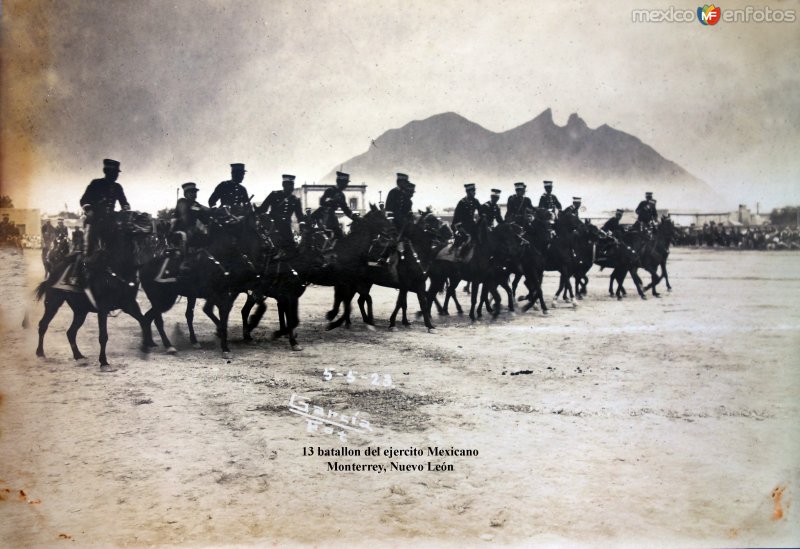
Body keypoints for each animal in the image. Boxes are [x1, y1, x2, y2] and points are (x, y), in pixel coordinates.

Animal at [34, 210, 156, 368]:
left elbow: (144, 321)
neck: (116, 267)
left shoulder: (129, 304)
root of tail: (54, 273)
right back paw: (40, 352)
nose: (147, 217)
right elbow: (103, 336)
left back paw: (78, 355)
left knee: (71, 332)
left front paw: (145, 346)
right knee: (43, 324)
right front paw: (103, 361)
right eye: (128, 216)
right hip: (53, 302)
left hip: (80, 311)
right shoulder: (103, 308)